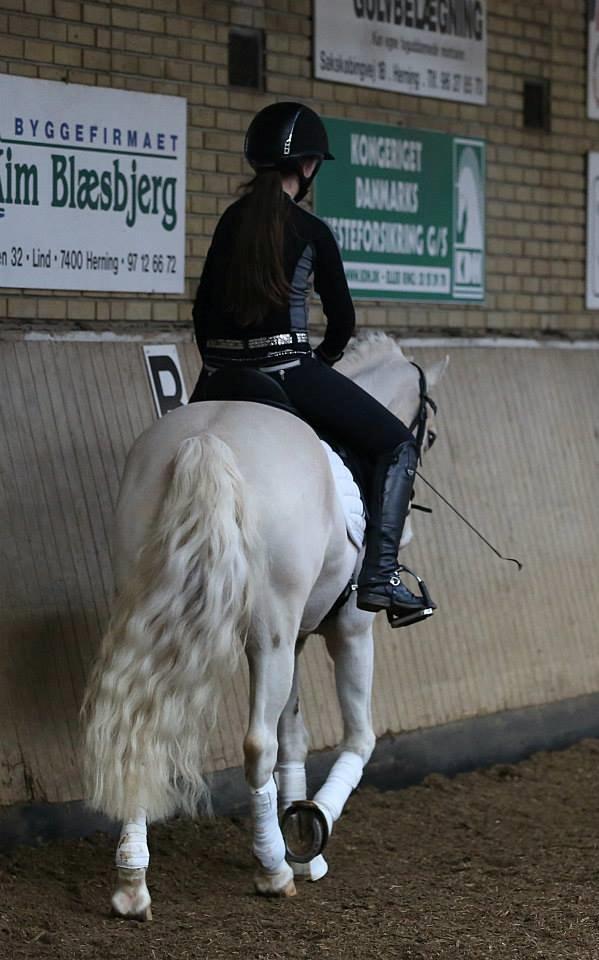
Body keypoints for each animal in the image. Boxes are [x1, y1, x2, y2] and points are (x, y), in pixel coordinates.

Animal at [82, 336, 446, 916]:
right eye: (426, 436)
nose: (408, 530)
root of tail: (208, 438)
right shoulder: (348, 630)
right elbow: (358, 738)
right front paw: (310, 829)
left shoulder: (295, 639)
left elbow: (294, 737)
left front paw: (299, 837)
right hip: (271, 633)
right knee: (256, 745)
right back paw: (273, 871)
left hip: (157, 607)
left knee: (136, 721)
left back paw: (132, 885)